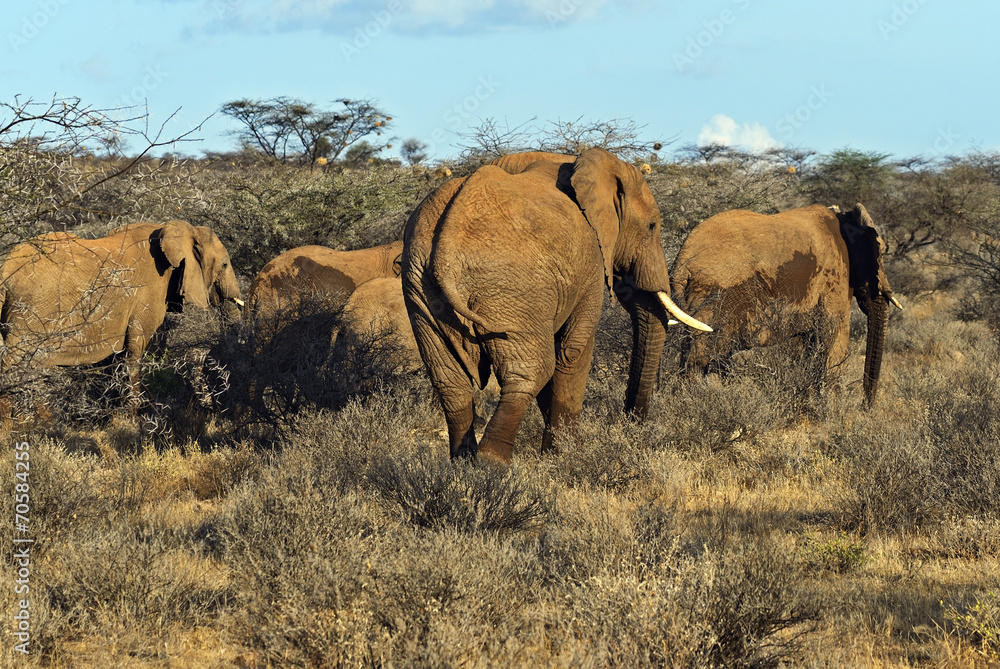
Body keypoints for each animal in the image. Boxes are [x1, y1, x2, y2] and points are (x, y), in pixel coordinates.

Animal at [402, 148, 711, 462]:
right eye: (651, 226)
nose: (631, 425)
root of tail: (446, 251)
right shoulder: (590, 259)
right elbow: (572, 350)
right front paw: (567, 457)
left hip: (422, 292)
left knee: (450, 382)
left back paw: (462, 464)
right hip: (512, 288)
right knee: (531, 371)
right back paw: (492, 464)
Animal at [671, 203, 902, 404]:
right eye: (880, 253)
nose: (866, 406)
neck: (843, 217)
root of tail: (682, 263)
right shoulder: (835, 273)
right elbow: (835, 333)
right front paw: (830, 407)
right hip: (715, 295)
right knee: (701, 356)